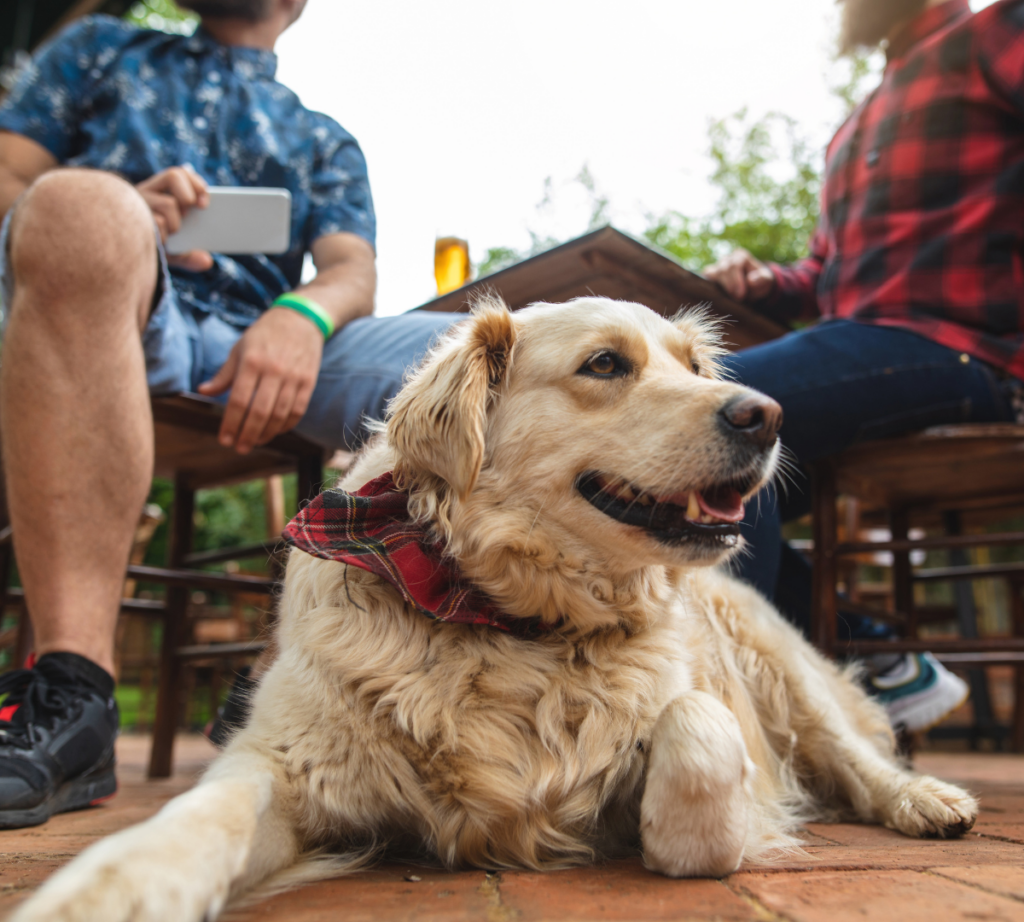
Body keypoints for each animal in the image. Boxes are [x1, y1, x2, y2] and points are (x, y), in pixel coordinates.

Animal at [12, 299, 978, 917]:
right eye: (605, 364)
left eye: (694, 366)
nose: (768, 415)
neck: (515, 622)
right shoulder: (284, 761)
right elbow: (193, 819)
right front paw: (112, 892)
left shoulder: (701, 714)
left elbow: (697, 734)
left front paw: (694, 829)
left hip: (780, 665)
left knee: (856, 756)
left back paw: (925, 799)